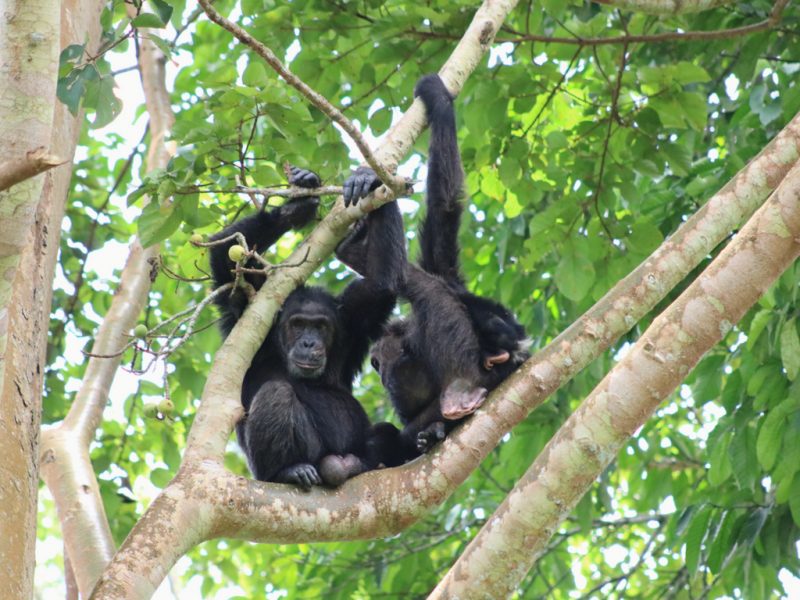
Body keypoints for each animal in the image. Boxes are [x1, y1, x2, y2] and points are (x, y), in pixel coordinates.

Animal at [209, 165, 406, 488]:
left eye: (321, 327)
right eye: (298, 325)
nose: (309, 342)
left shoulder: (355, 315)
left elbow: (382, 283)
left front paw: (367, 179)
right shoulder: (246, 307)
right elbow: (225, 257)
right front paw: (293, 206)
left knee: (385, 431)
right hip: (270, 471)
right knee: (276, 393)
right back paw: (289, 471)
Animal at [340, 71, 532, 464]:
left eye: (380, 362)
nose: (381, 370)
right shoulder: (441, 264)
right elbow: (444, 204)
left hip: (466, 363)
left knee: (424, 289)